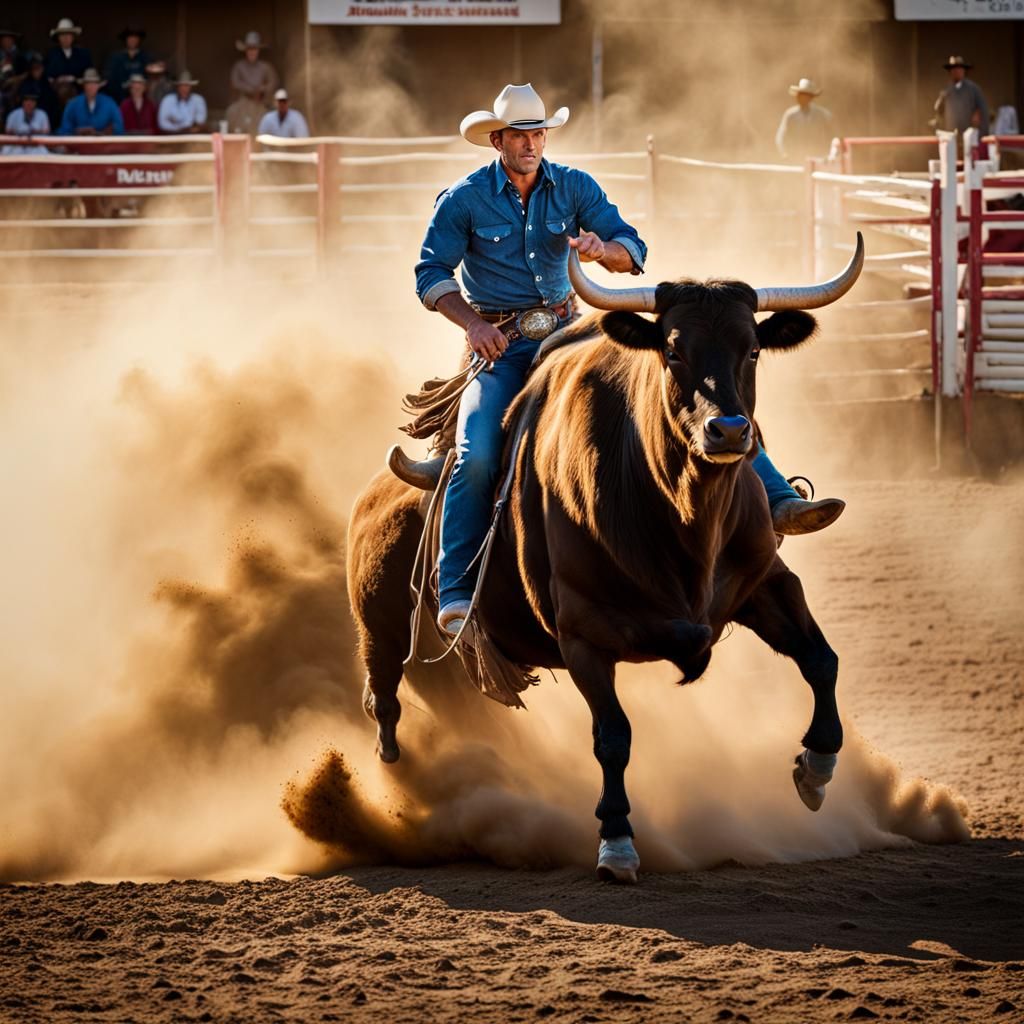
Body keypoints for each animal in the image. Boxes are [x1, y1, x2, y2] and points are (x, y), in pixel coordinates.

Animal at [347, 236, 864, 882]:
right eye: (672, 350)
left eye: (751, 350)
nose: (727, 431)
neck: (675, 511)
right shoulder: (584, 635)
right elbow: (612, 736)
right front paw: (617, 841)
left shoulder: (767, 582)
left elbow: (822, 660)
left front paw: (816, 767)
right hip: (381, 625)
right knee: (384, 693)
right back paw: (392, 755)